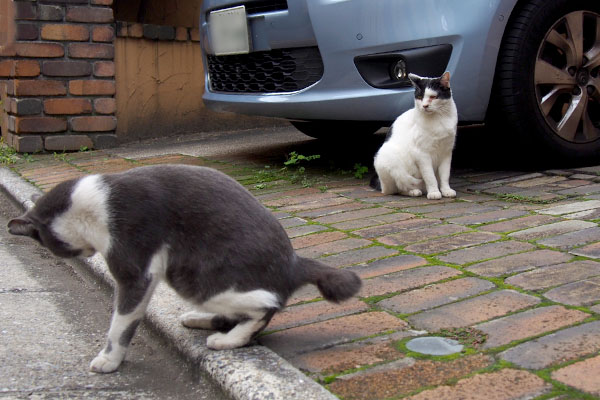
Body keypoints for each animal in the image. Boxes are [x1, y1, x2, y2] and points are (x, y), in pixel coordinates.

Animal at [7, 164, 360, 374]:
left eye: (51, 245)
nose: (81, 252)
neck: (88, 207)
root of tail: (294, 262)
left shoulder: (135, 271)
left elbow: (121, 324)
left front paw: (109, 359)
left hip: (197, 277)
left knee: (266, 306)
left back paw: (227, 340)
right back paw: (199, 319)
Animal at [370, 72, 460, 200]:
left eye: (433, 97)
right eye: (420, 97)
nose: (425, 105)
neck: (439, 119)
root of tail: (381, 185)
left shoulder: (446, 152)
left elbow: (445, 175)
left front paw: (446, 190)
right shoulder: (422, 154)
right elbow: (430, 176)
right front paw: (434, 192)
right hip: (389, 160)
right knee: (398, 188)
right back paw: (413, 191)